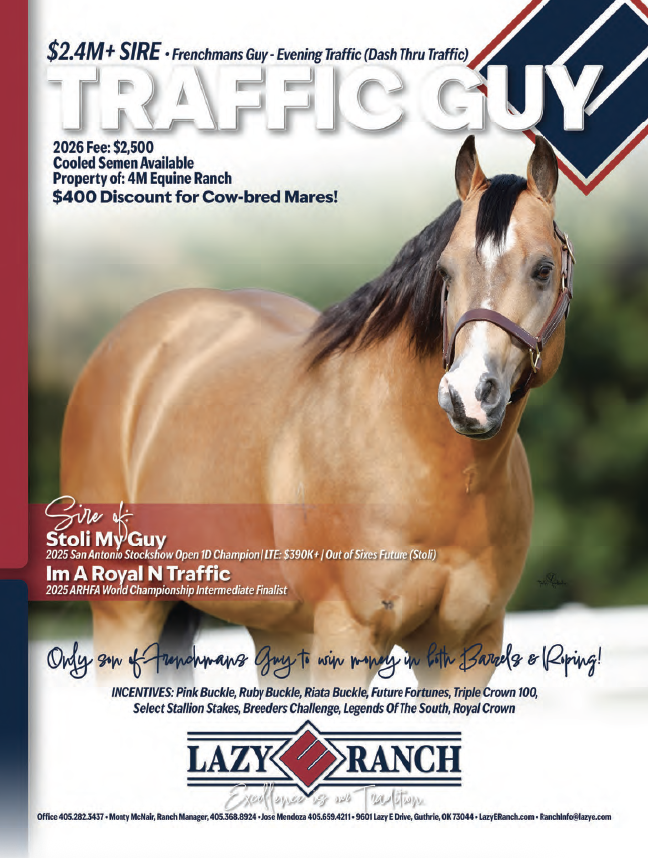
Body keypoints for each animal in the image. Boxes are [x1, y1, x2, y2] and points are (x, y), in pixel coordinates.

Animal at [60, 135, 574, 689]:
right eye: (445, 271)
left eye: (543, 269)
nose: (467, 397)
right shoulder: (347, 633)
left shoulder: (465, 651)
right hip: (126, 612)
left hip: (277, 631)